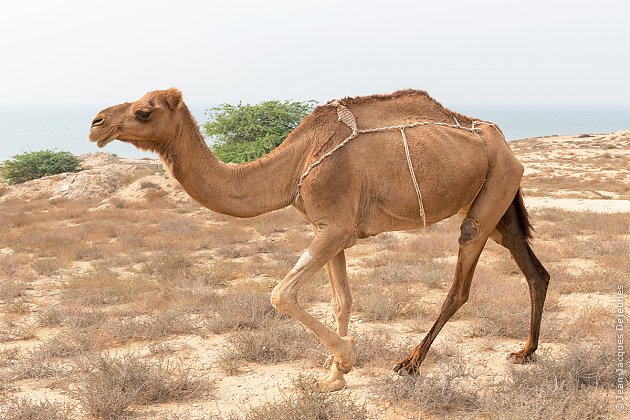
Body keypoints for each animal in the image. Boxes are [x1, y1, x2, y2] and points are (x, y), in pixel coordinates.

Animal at [90, 87, 552, 392]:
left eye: (143, 111)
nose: (96, 124)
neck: (294, 163)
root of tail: (502, 140)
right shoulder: (328, 228)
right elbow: (340, 300)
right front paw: (333, 376)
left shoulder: (335, 228)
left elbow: (281, 294)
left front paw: (346, 356)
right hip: (499, 199)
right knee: (535, 270)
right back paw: (525, 352)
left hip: (492, 191)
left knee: (461, 281)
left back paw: (410, 363)